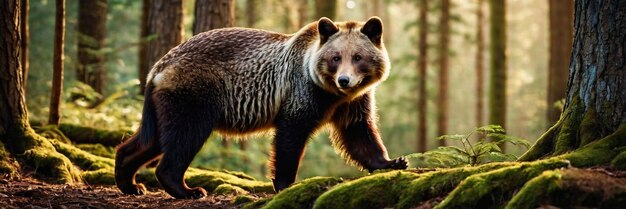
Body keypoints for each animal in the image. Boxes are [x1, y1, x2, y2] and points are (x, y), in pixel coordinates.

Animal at [114, 16, 408, 199]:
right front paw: (286, 183)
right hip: (194, 94)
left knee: (151, 139)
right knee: (183, 137)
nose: (344, 79)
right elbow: (290, 136)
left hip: (162, 103)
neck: (330, 93)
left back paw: (130, 182)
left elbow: (359, 132)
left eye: (358, 57)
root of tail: (158, 66)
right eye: (336, 57)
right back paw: (188, 189)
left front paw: (393, 161)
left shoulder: (352, 102)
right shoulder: (302, 92)